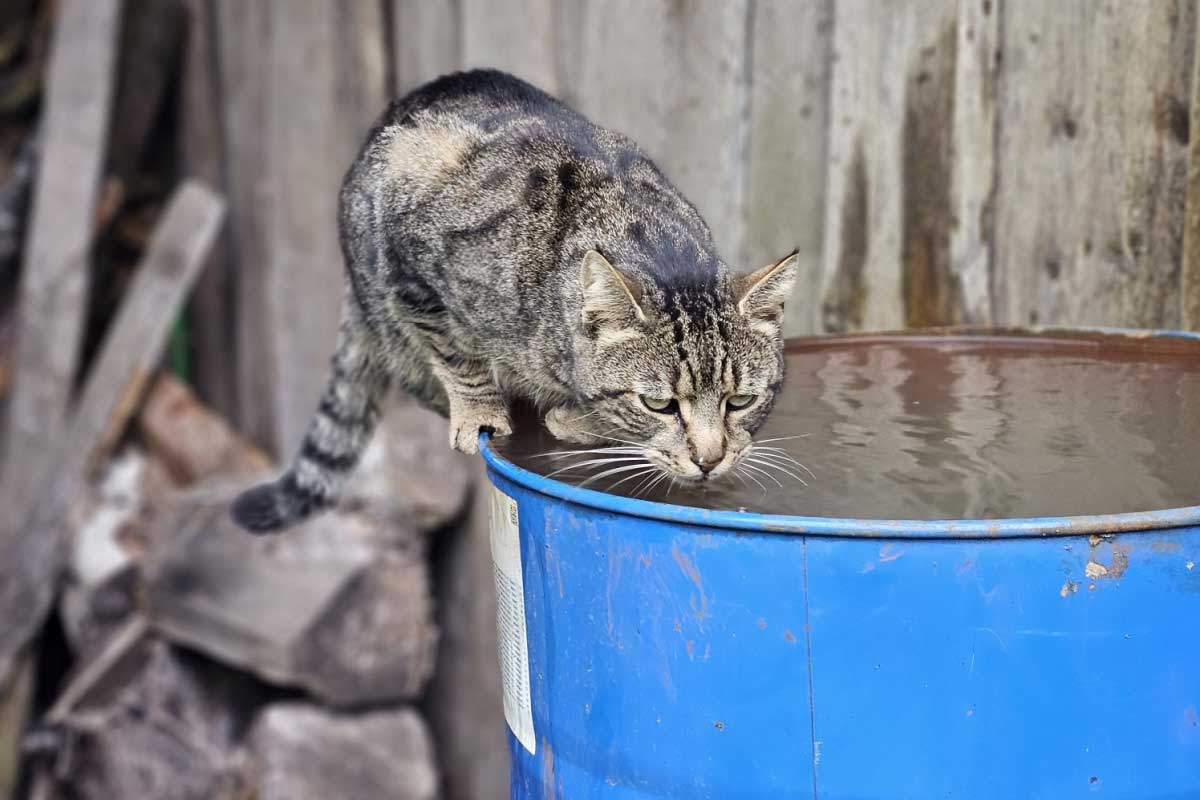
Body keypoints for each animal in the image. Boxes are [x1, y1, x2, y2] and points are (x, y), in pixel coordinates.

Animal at [231, 67, 796, 532]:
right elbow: (458, 355)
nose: (709, 459)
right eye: (659, 404)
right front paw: (489, 411)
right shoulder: (414, 266)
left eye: (741, 401)